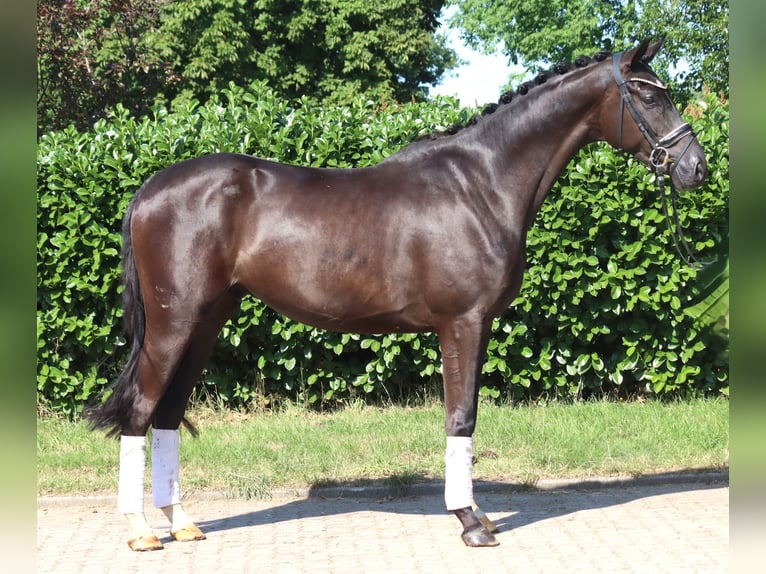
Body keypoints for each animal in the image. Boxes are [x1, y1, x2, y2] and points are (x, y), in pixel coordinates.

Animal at [87, 39, 707, 550]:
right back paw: (142, 531)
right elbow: (462, 416)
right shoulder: (463, 322)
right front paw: (471, 521)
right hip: (174, 323)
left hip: (207, 321)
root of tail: (150, 189)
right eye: (650, 96)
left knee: (167, 413)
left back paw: (182, 523)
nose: (696, 168)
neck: (481, 185)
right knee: (140, 411)